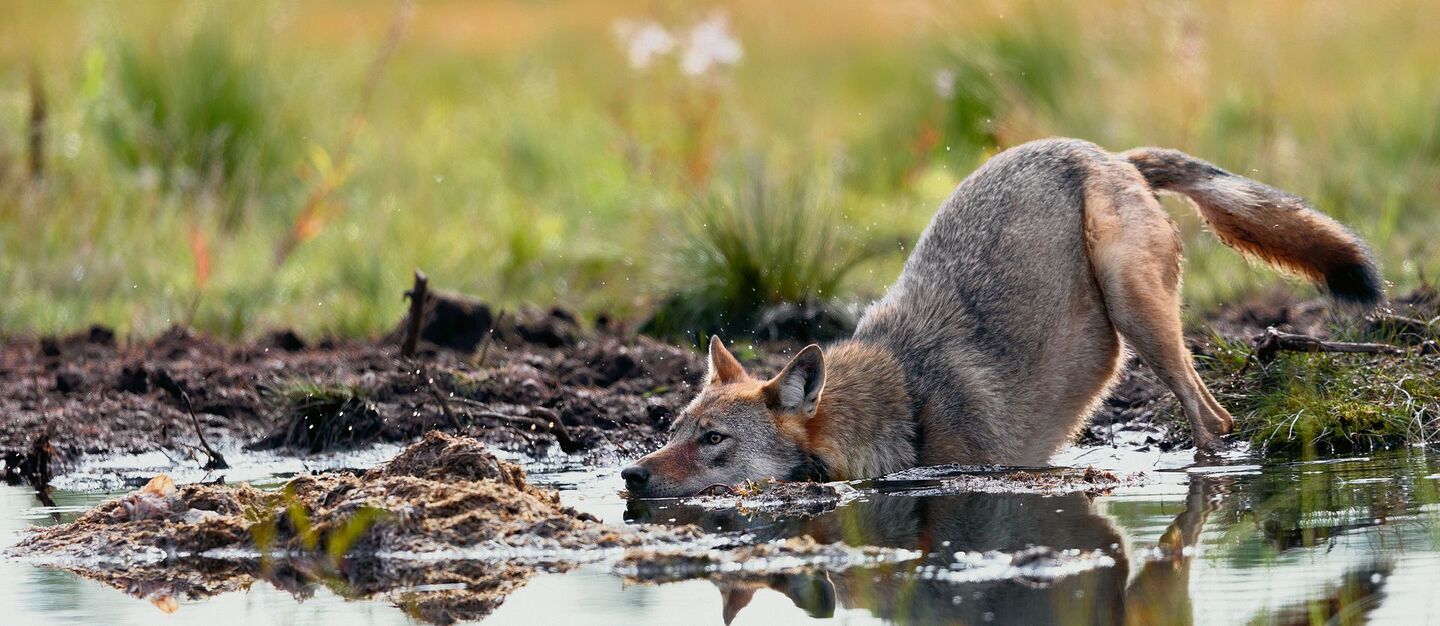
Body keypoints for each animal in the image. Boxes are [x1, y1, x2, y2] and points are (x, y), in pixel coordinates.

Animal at [622, 138, 1381, 498]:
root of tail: (1110, 154)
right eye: (673, 430)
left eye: (714, 440)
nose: (630, 476)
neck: (904, 400)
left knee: (1214, 421)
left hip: (1135, 310)